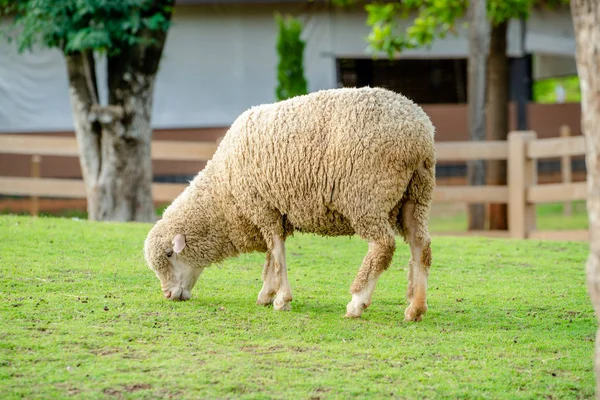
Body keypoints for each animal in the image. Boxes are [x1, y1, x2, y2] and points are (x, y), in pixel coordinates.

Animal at [145, 86, 436, 322]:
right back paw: (415, 308)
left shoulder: (263, 207)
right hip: (415, 195)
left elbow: (277, 255)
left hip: (367, 196)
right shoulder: (271, 211)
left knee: (383, 246)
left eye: (169, 254)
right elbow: (270, 258)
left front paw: (281, 299)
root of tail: (421, 132)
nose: (168, 295)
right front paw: (266, 293)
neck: (223, 193)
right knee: (421, 245)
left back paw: (357, 303)